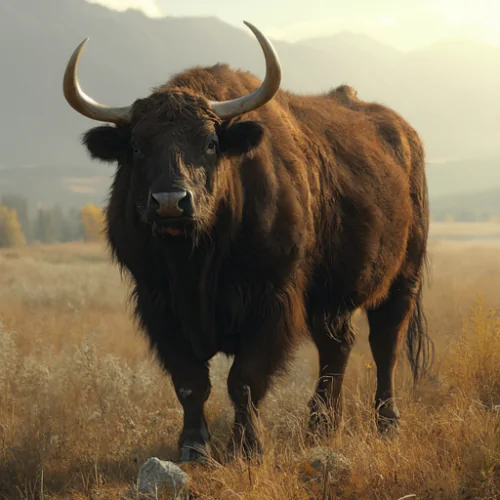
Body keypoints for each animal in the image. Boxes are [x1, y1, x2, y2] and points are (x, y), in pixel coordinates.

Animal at [61, 21, 434, 462]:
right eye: (136, 145)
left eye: (210, 143)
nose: (170, 202)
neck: (195, 262)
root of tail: (405, 136)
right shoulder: (156, 302)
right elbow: (190, 382)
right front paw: (193, 447)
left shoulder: (272, 299)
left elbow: (246, 380)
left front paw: (247, 446)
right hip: (330, 299)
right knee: (337, 348)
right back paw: (322, 425)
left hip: (403, 278)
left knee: (385, 345)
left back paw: (386, 422)